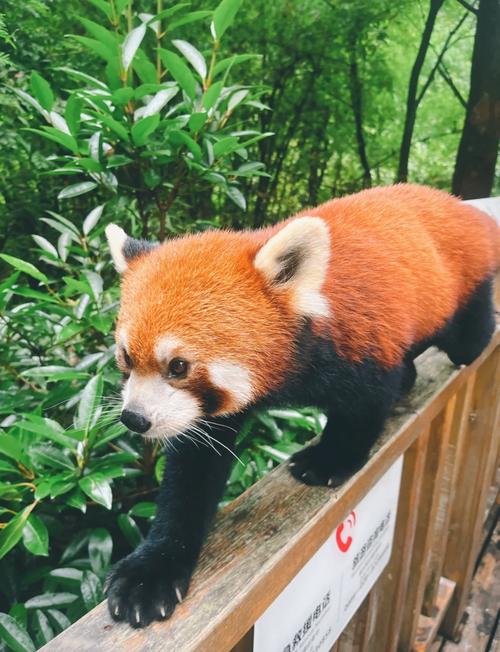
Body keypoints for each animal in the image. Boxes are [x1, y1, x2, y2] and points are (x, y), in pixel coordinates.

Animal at [104, 183, 499, 627]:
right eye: (126, 359)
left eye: (178, 366)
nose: (134, 419)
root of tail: (461, 208)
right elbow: (192, 472)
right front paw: (154, 568)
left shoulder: (364, 341)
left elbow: (364, 407)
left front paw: (327, 460)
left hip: (461, 282)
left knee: (467, 339)